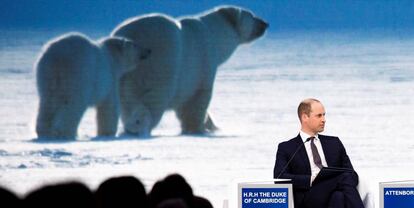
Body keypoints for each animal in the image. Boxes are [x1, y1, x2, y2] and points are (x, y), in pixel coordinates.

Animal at [112, 5, 268, 136]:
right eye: (252, 15)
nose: (265, 23)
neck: (214, 36)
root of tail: (133, 35)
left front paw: (213, 126)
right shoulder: (203, 62)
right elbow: (197, 100)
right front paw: (197, 129)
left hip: (123, 76)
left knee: (128, 102)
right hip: (161, 64)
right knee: (153, 99)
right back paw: (138, 128)